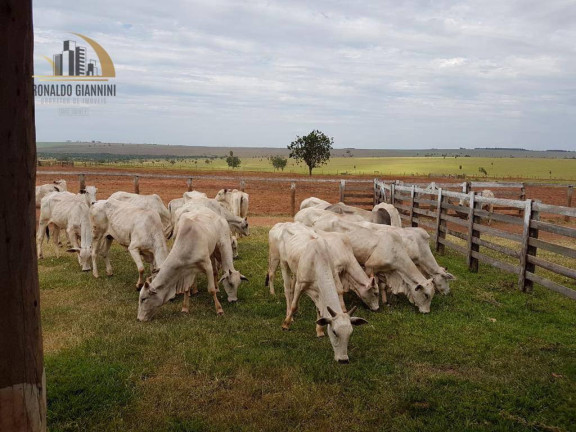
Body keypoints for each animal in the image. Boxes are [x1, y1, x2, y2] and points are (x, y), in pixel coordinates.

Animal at [276, 224, 366, 362]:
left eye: (350, 333)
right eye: (334, 332)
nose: (343, 360)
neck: (318, 260)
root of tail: (288, 224)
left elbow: (319, 309)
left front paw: (319, 330)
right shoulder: (300, 285)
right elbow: (294, 306)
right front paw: (285, 324)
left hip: (295, 271)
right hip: (284, 264)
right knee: (288, 290)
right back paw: (288, 316)